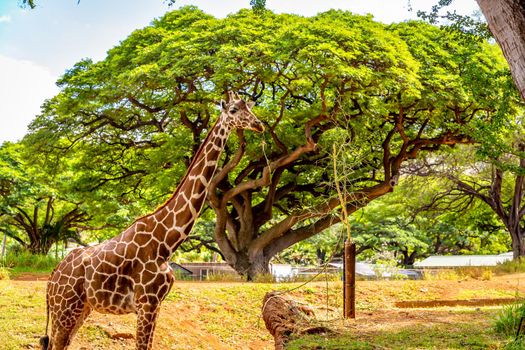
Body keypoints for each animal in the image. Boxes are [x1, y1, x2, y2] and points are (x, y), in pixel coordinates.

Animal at [39, 91, 264, 350]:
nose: (259, 125)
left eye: (250, 107)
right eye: (234, 111)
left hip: (81, 308)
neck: (168, 239)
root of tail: (52, 277)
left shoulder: (156, 305)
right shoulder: (147, 302)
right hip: (65, 308)